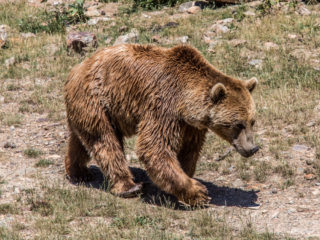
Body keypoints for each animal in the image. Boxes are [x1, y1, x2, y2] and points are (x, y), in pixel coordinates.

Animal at [63, 43, 258, 204]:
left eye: (252, 121)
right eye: (238, 124)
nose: (252, 148)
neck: (185, 101)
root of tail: (77, 68)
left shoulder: (192, 125)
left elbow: (189, 150)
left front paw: (180, 184)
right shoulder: (163, 106)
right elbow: (155, 147)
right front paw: (198, 192)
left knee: (81, 141)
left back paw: (78, 172)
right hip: (96, 99)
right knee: (105, 141)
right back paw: (128, 186)